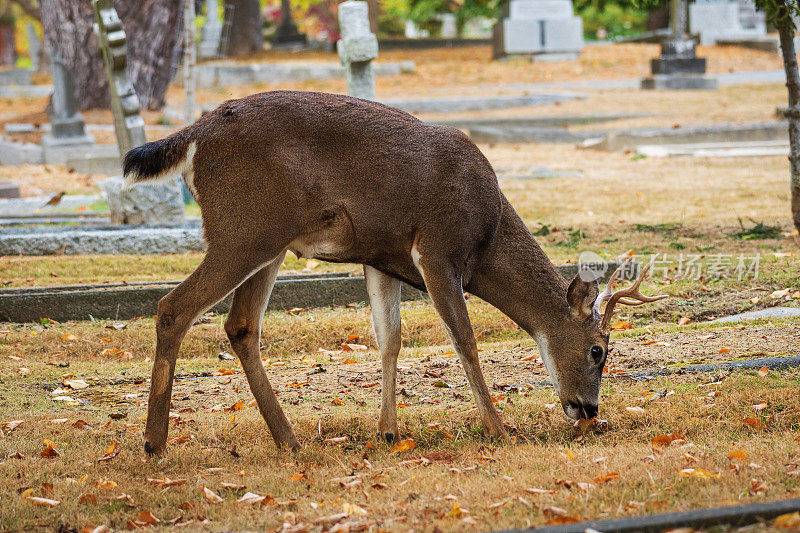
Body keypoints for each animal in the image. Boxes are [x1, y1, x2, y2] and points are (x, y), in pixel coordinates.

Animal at [122, 90, 664, 454]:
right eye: (598, 351)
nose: (588, 411)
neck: (486, 238)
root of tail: (195, 135)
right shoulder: (438, 249)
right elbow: (464, 339)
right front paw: (499, 428)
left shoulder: (380, 257)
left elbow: (389, 340)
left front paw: (388, 431)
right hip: (245, 227)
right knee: (173, 306)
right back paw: (154, 443)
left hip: (266, 239)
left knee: (240, 324)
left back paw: (289, 439)